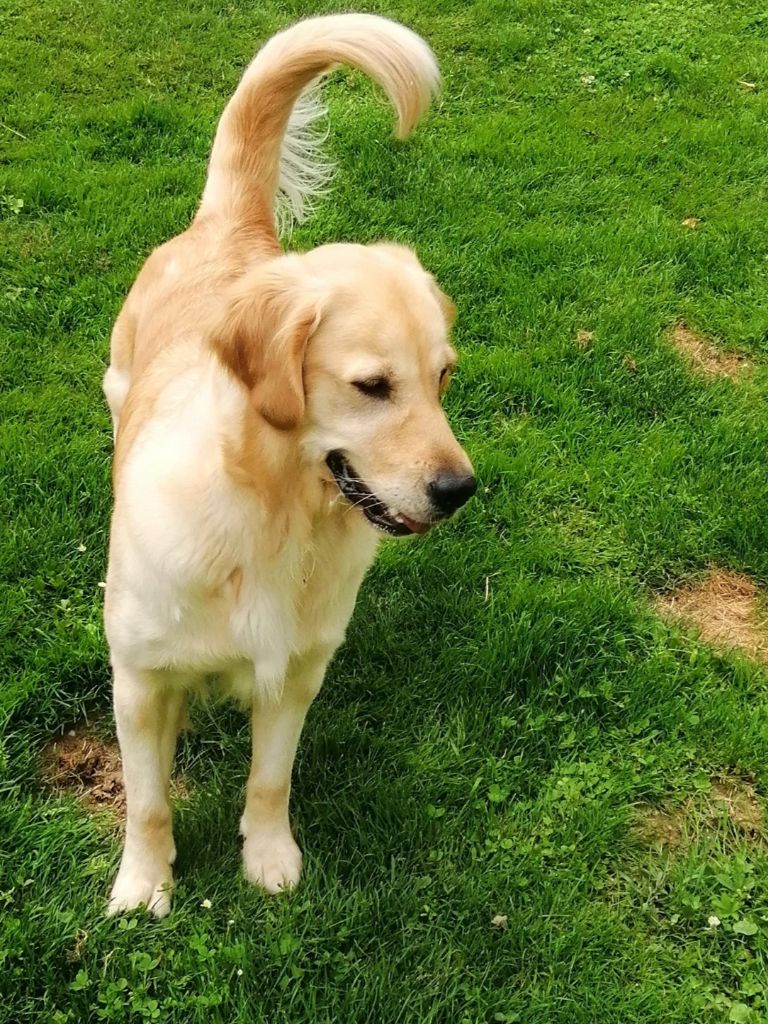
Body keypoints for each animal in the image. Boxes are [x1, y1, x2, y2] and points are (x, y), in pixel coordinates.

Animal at [102, 12, 475, 917]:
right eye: (373, 386)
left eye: (444, 378)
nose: (460, 489)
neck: (272, 518)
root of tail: (229, 227)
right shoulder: (137, 678)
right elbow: (148, 800)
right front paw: (143, 885)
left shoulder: (298, 670)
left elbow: (270, 781)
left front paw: (269, 858)